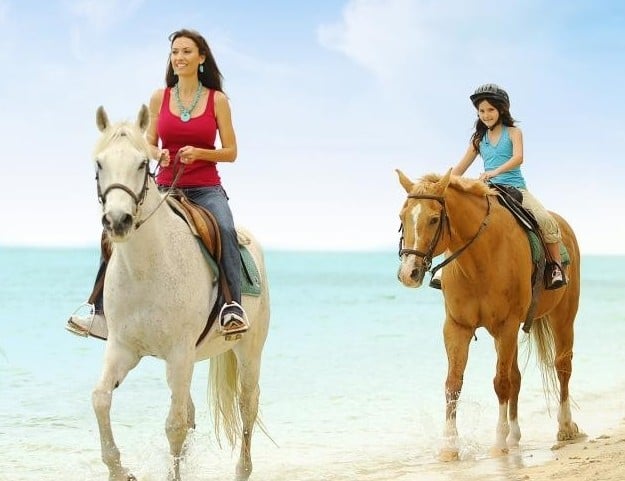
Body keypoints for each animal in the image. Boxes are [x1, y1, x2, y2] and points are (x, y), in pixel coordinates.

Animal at [87, 105, 268, 480]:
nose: (118, 221)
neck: (147, 267)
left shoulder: (179, 353)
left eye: (142, 163)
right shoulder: (123, 348)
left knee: (247, 405)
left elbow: (174, 425)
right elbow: (100, 399)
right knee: (192, 409)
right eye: (99, 163)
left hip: (248, 352)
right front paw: (119, 471)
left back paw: (242, 470)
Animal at [398, 168, 584, 458]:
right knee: (517, 376)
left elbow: (501, 383)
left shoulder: (506, 326)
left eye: (434, 219)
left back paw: (565, 427)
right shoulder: (457, 327)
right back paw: (515, 437)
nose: (409, 273)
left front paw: (498, 443)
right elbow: (453, 384)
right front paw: (449, 448)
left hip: (563, 317)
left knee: (562, 366)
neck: (479, 258)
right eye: (402, 217)